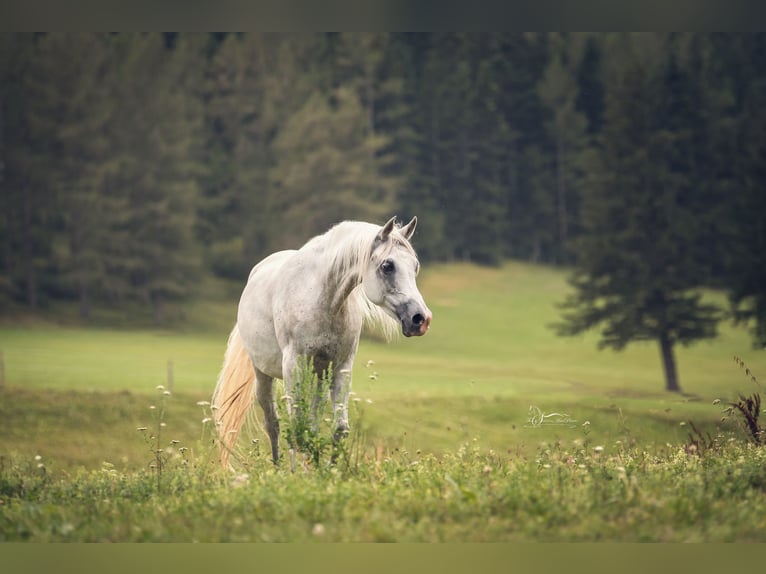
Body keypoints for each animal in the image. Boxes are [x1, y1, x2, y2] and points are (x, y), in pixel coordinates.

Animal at [213, 217, 436, 468]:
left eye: (415, 266)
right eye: (388, 266)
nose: (421, 319)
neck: (320, 297)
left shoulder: (341, 368)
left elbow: (338, 428)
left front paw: (327, 470)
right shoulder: (293, 366)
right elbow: (295, 427)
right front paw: (297, 473)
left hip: (318, 377)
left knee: (309, 422)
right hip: (263, 374)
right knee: (273, 423)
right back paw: (278, 467)